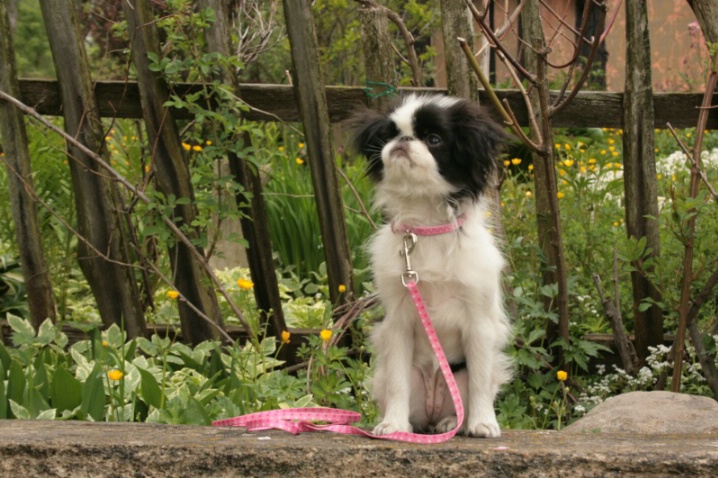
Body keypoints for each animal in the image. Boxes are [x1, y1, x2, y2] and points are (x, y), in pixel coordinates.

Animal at [352, 93, 512, 436]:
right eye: (389, 135)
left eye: (434, 140)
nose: (403, 140)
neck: (427, 227)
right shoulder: (398, 323)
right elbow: (398, 383)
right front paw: (392, 425)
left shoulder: (479, 324)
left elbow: (480, 381)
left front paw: (483, 423)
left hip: (458, 378)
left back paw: (454, 422)